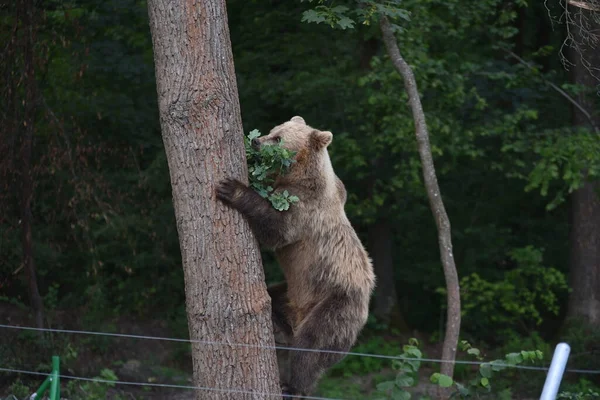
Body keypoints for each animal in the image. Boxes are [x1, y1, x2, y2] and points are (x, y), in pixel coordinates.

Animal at [216, 115, 376, 396]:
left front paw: (231, 187)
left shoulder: (304, 209)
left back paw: (293, 386)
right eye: (273, 131)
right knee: (272, 299)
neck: (300, 175)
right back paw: (279, 329)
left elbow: (276, 229)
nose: (256, 141)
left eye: (278, 138)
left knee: (311, 345)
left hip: (335, 302)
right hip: (293, 292)